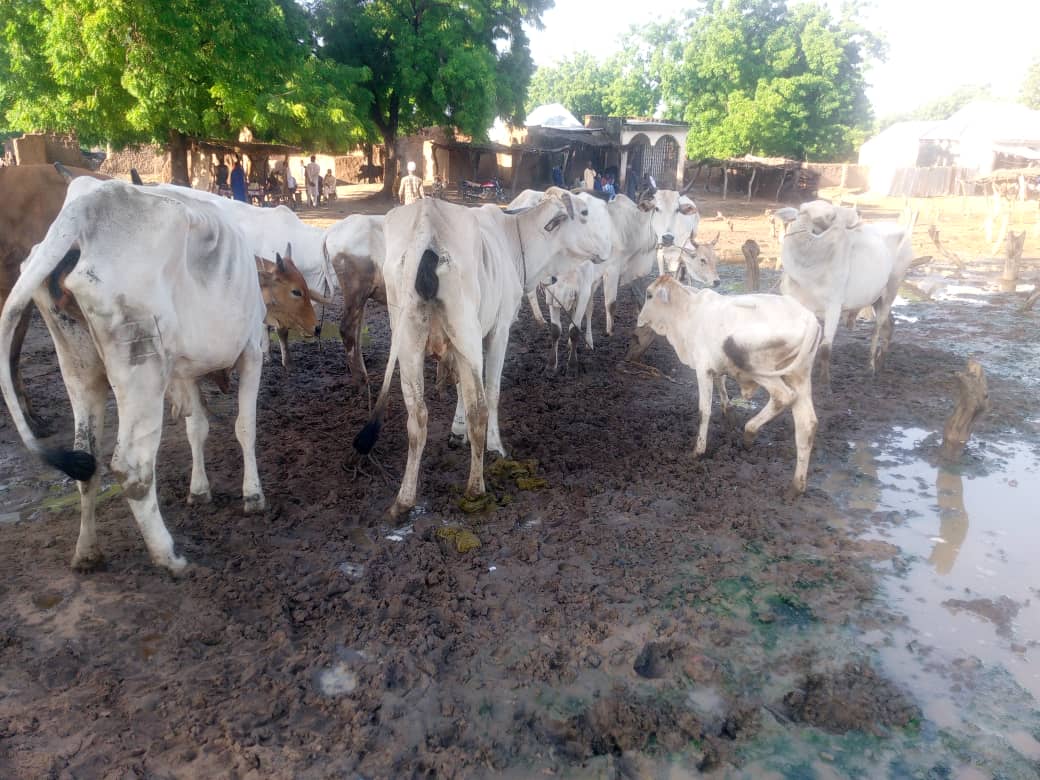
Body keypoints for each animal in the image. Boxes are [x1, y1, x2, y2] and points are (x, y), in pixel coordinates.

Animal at [353, 193, 610, 519]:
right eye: (585, 212)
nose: (608, 248)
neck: (515, 237)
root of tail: (427, 221)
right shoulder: (497, 331)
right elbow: (491, 393)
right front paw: (495, 445)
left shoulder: (455, 348)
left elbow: (460, 389)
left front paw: (456, 431)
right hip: (467, 332)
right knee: (479, 408)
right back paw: (476, 489)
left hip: (408, 338)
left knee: (417, 416)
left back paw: (404, 499)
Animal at [636, 275, 822, 496]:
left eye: (649, 295)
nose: (638, 320)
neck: (687, 312)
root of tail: (810, 320)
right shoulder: (715, 367)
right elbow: (721, 384)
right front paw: (729, 413)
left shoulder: (703, 369)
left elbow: (704, 411)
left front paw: (698, 450)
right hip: (799, 375)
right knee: (807, 424)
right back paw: (796, 486)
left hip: (755, 364)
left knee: (783, 396)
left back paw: (749, 433)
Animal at [774, 200, 914, 385]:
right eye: (831, 216)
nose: (859, 211)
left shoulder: (834, 306)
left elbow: (825, 347)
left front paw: (825, 382)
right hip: (876, 297)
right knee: (890, 324)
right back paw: (881, 362)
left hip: (892, 287)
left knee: (876, 329)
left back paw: (871, 367)